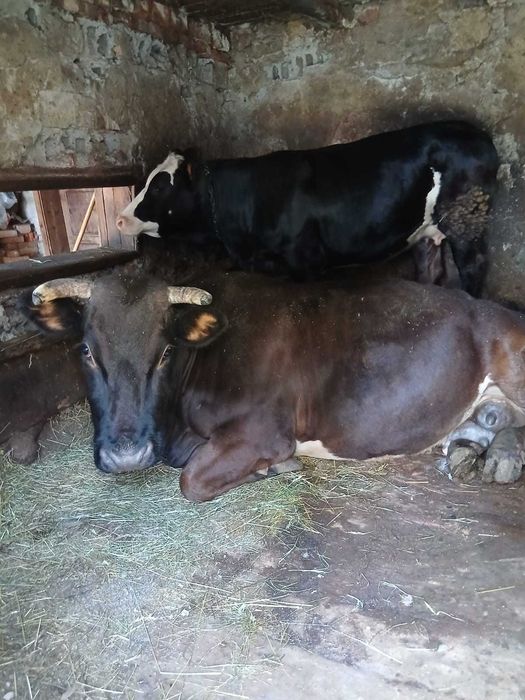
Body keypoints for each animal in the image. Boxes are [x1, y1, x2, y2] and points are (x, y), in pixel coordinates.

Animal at [24, 268, 525, 502]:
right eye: (86, 351)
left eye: (165, 352)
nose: (127, 456)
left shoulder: (263, 432)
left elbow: (191, 478)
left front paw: (273, 469)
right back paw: (473, 452)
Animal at [116, 121, 499, 296]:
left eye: (160, 185)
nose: (120, 219)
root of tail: (477, 132)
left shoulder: (306, 260)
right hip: (425, 233)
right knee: (432, 272)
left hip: (469, 224)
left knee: (474, 268)